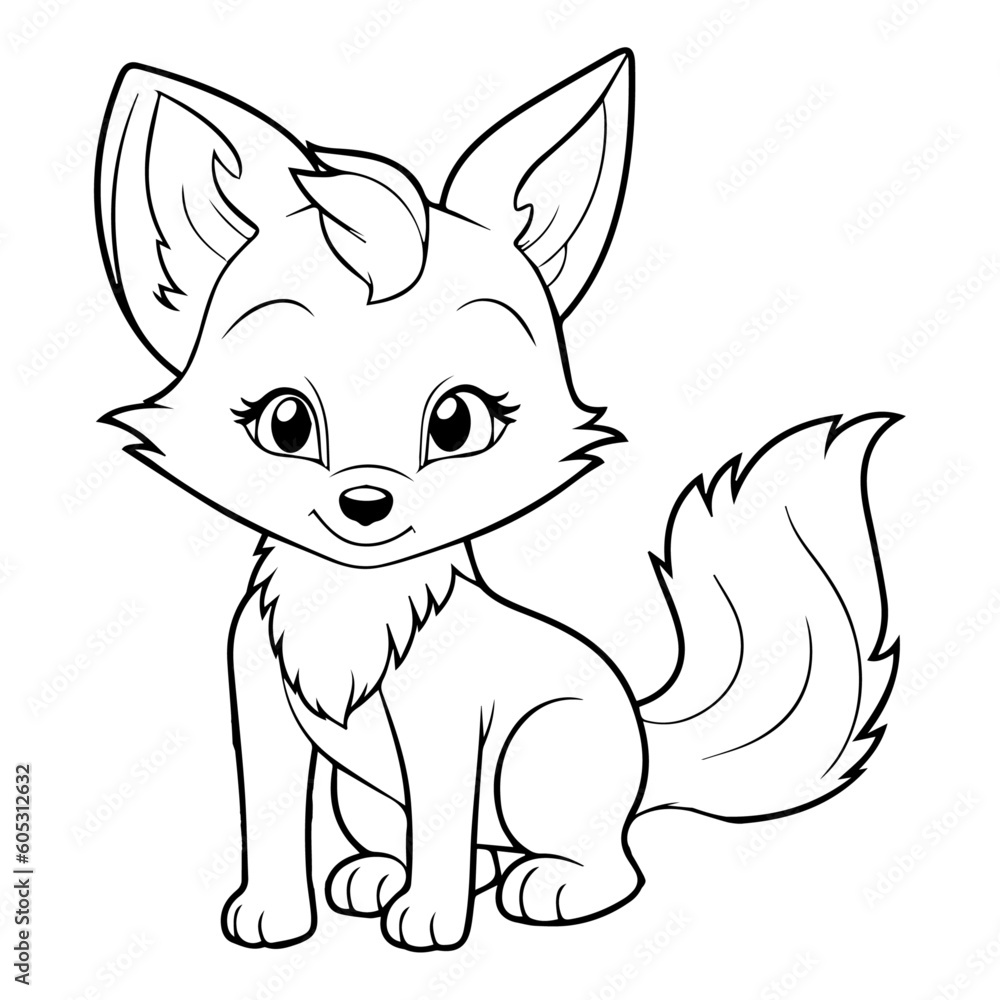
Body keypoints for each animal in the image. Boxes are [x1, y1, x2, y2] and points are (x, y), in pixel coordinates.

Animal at [95, 49, 899, 952]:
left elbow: (443, 830)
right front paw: (273, 913)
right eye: (286, 422)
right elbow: (268, 822)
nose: (366, 503)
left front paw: (431, 922)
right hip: (364, 795)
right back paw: (382, 876)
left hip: (536, 758)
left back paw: (547, 885)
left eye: (457, 421)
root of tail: (645, 744)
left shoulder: (450, 733)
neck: (350, 607)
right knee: (445, 843)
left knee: (603, 863)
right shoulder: (263, 711)